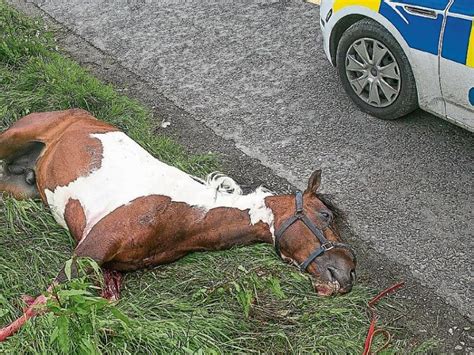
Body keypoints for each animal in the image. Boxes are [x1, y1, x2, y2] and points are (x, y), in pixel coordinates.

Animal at [0, 109, 356, 342]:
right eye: (325, 215)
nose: (348, 274)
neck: (183, 215)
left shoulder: (109, 271)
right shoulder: (87, 251)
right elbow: (41, 304)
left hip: (16, 186)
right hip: (11, 138)